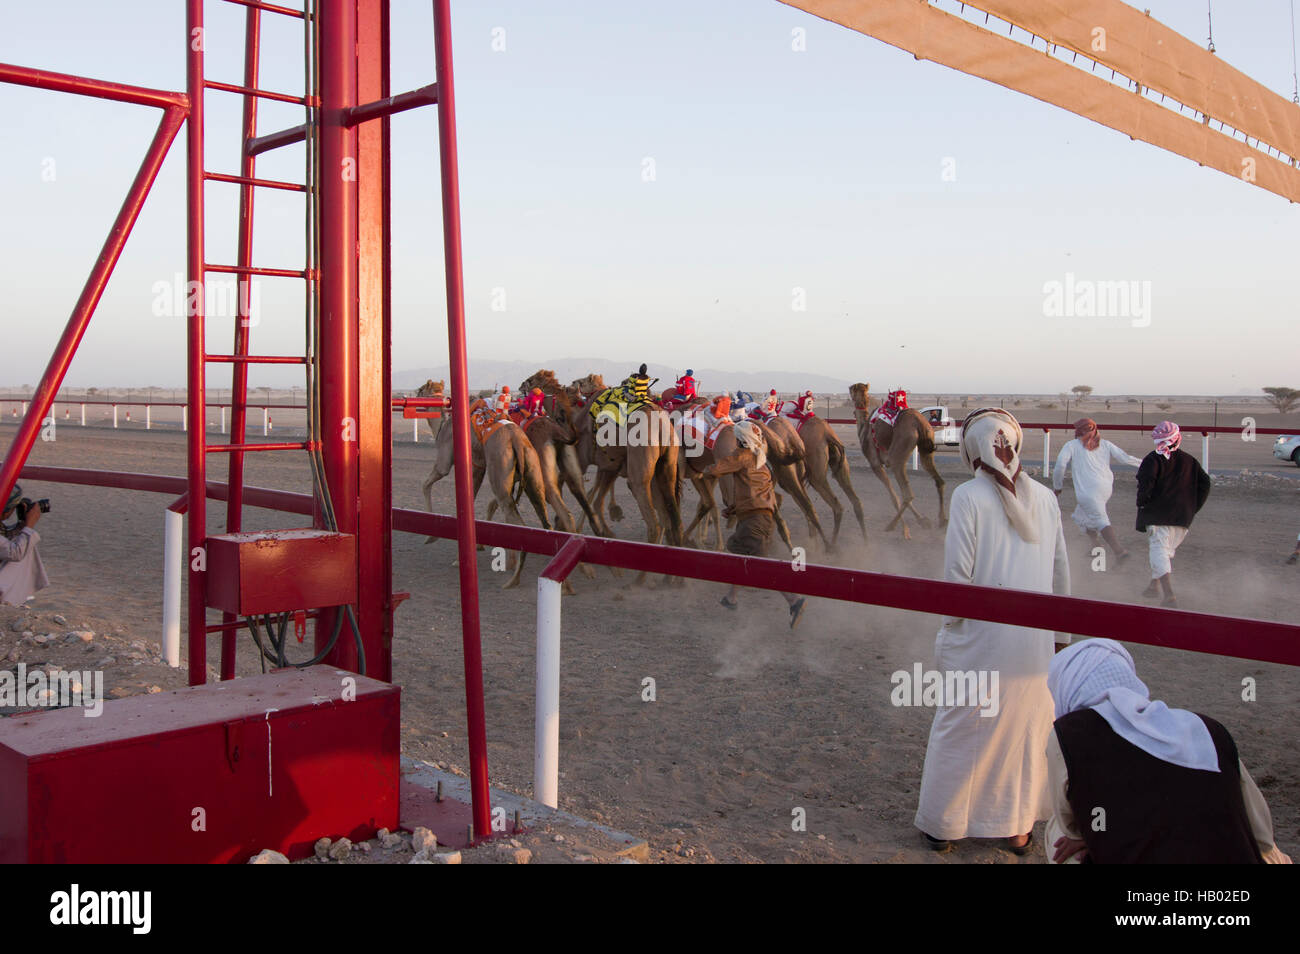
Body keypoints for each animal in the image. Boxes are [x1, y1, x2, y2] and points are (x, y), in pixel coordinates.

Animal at [852, 382, 946, 545]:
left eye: (851, 390)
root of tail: (919, 423)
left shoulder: (875, 464)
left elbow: (894, 496)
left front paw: (907, 530)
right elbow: (898, 494)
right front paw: (923, 521)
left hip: (899, 454)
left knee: (908, 495)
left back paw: (891, 526)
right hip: (925, 449)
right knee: (938, 481)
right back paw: (943, 521)